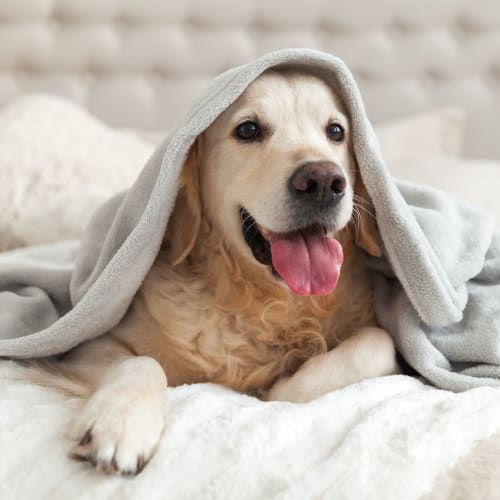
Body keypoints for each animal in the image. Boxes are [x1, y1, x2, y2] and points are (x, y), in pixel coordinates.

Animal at [32, 68, 398, 474]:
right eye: (248, 129)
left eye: (336, 131)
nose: (322, 182)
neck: (263, 302)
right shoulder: (82, 349)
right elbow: (142, 362)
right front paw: (119, 424)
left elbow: (379, 342)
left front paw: (283, 387)